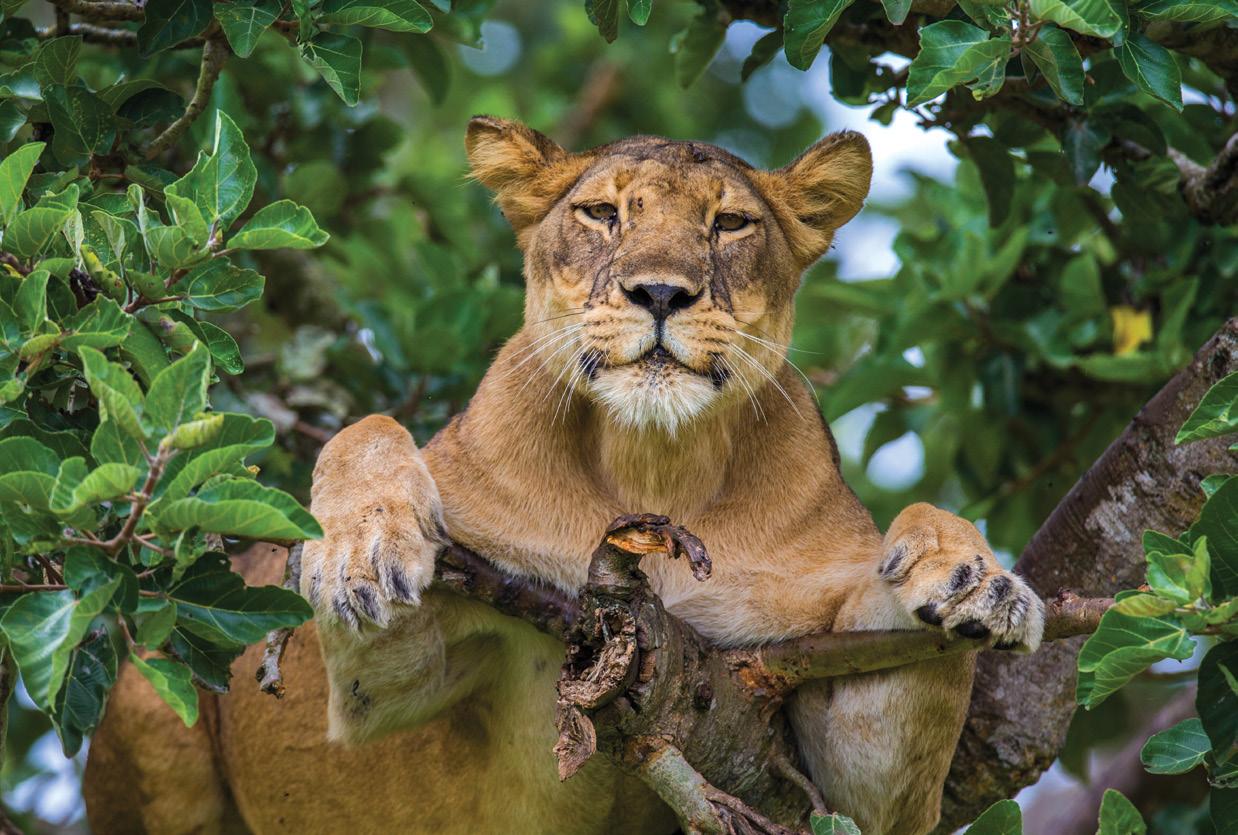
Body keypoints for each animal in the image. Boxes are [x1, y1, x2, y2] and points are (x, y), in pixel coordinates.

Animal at [84, 118, 1044, 835]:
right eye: (601, 213)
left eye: (730, 225)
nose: (661, 293)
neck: (655, 464)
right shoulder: (379, 688)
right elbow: (369, 433)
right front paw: (361, 549)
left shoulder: (840, 776)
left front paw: (978, 582)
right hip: (144, 701)